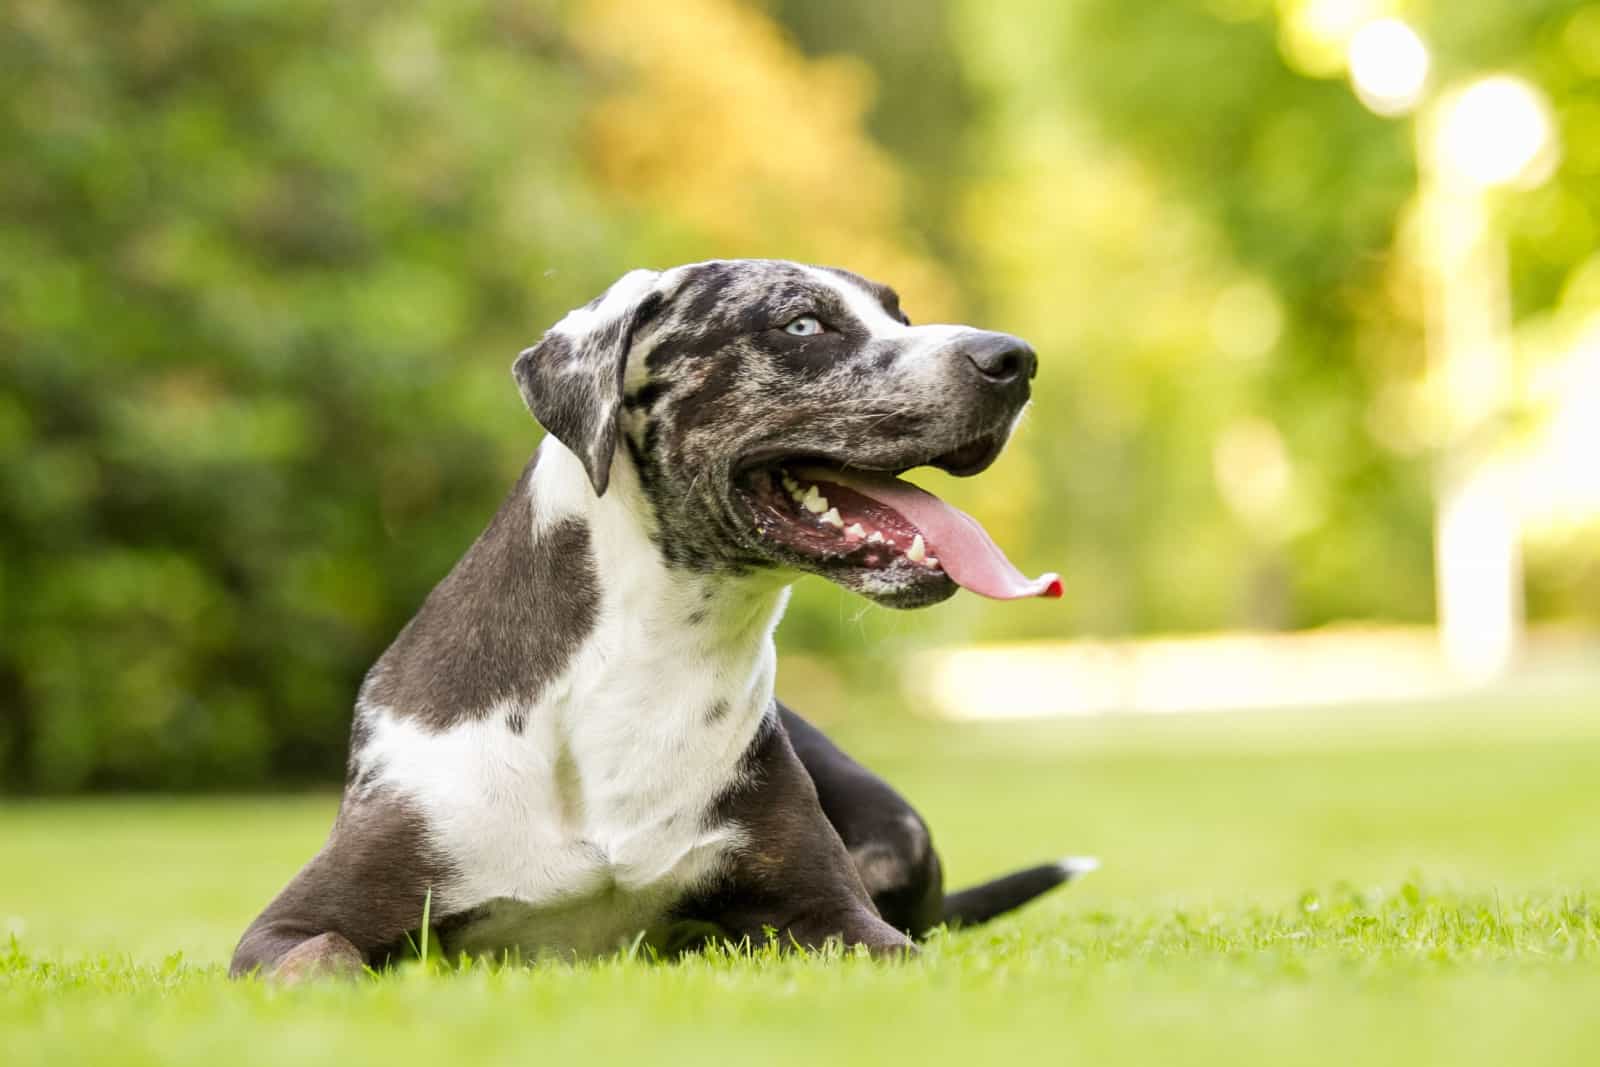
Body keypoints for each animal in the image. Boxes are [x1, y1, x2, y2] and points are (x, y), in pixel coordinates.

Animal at [232, 260, 1094, 985]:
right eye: (802, 324)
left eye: (900, 315)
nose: (1014, 358)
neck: (645, 665)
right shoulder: (286, 927)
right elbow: (324, 959)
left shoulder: (839, 915)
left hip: (900, 825)